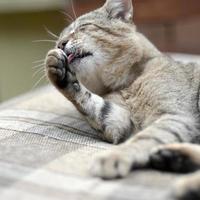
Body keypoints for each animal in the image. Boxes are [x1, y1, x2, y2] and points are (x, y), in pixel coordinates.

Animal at [44, 0, 200, 199]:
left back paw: (186, 182)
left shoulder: (177, 115)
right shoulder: (120, 122)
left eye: (82, 27)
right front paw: (58, 70)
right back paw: (173, 158)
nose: (60, 45)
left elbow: (144, 138)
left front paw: (114, 156)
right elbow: (92, 103)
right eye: (59, 40)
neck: (127, 86)